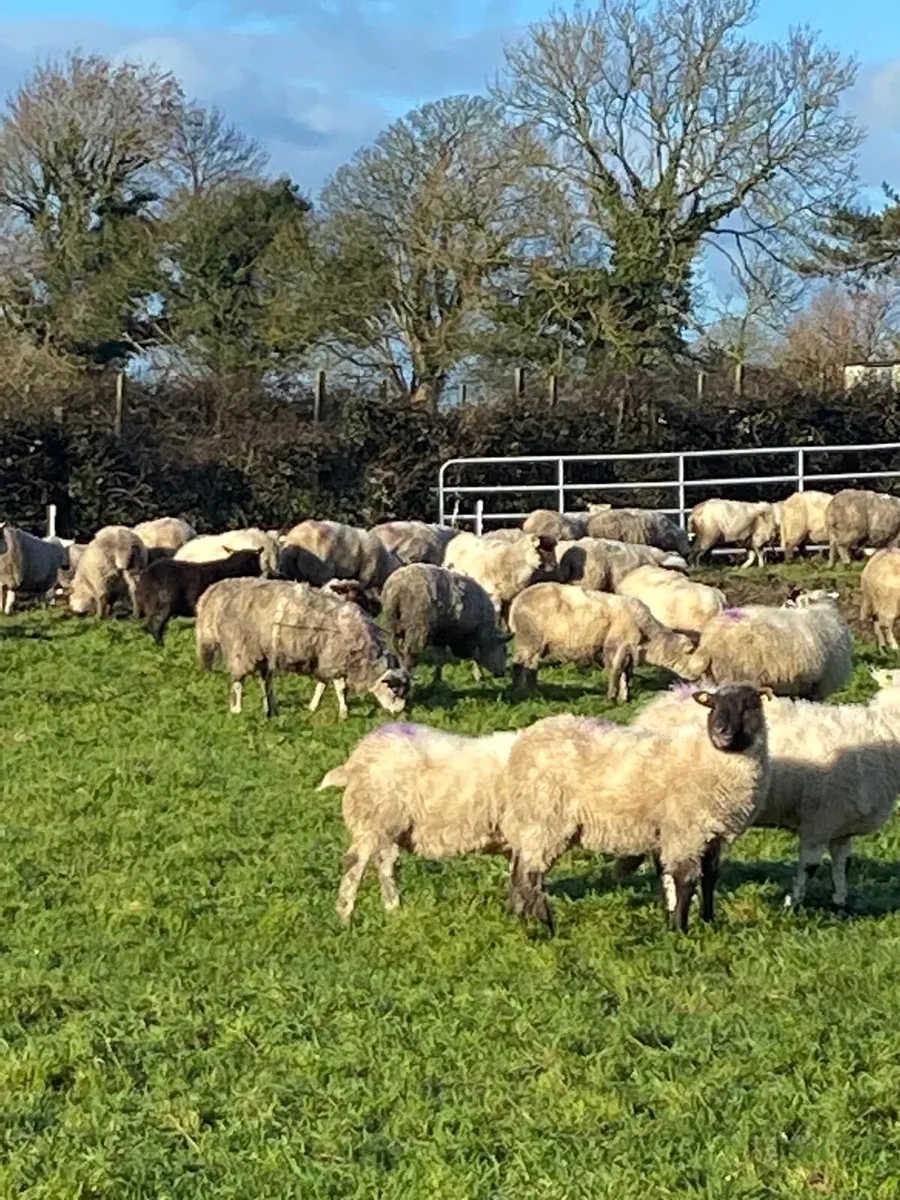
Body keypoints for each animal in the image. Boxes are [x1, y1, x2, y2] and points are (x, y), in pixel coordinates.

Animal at [195, 578, 411, 720]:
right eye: (395, 691)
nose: (399, 713)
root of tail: (216, 591)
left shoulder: (325, 659)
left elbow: (323, 683)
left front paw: (313, 706)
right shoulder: (333, 657)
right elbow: (340, 688)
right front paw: (344, 712)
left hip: (263, 653)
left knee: (265, 681)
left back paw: (269, 708)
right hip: (241, 647)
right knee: (238, 681)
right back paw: (237, 709)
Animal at [319, 723, 520, 924]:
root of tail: (356, 759)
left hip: (387, 825)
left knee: (385, 863)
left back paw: (393, 910)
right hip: (376, 816)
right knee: (354, 863)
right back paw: (345, 918)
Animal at [502, 683, 772, 933]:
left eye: (749, 706)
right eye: (712, 705)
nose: (719, 731)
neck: (708, 757)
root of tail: (525, 740)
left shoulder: (712, 835)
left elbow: (709, 879)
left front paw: (708, 921)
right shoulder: (685, 833)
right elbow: (684, 882)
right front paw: (680, 930)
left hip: (534, 822)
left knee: (518, 870)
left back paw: (520, 917)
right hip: (546, 820)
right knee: (530, 874)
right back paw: (544, 922)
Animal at [508, 582, 695, 701]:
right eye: (689, 654)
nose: (695, 677)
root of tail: (516, 601)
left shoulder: (628, 650)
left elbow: (626, 674)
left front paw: (624, 697)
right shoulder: (617, 645)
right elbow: (615, 671)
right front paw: (612, 696)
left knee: (530, 664)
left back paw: (530, 690)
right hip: (530, 638)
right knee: (521, 663)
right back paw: (522, 691)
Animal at [628, 669, 900, 909]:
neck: (882, 732)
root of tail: (661, 703)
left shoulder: (841, 823)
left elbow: (842, 863)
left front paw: (840, 901)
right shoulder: (819, 820)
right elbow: (809, 866)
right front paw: (793, 902)